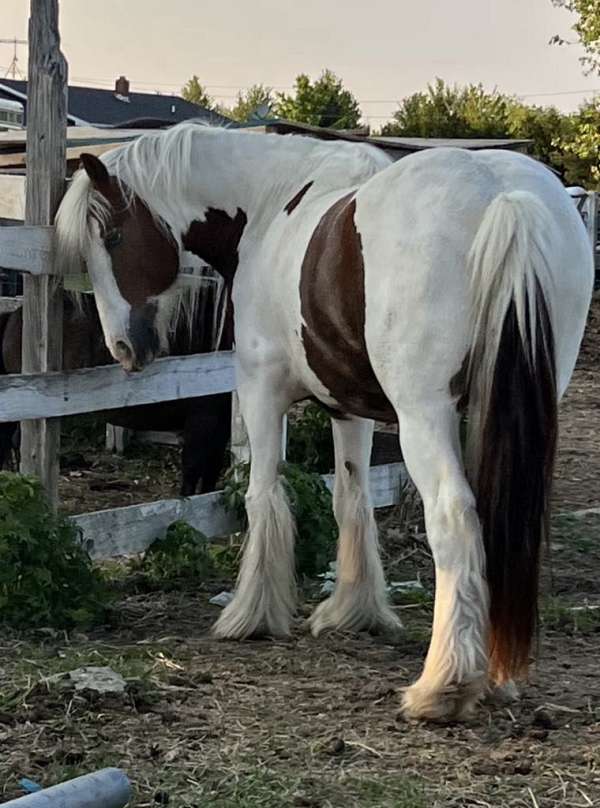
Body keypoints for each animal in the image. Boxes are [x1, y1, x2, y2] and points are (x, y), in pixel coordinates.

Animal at [54, 126, 592, 720]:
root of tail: (504, 196)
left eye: (113, 237)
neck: (269, 204)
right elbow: (351, 499)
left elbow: (263, 494)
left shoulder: (260, 388)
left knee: (454, 520)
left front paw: (251, 614)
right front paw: (352, 611)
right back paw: (495, 675)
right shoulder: (348, 407)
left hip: (423, 416)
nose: (123, 348)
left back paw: (441, 686)